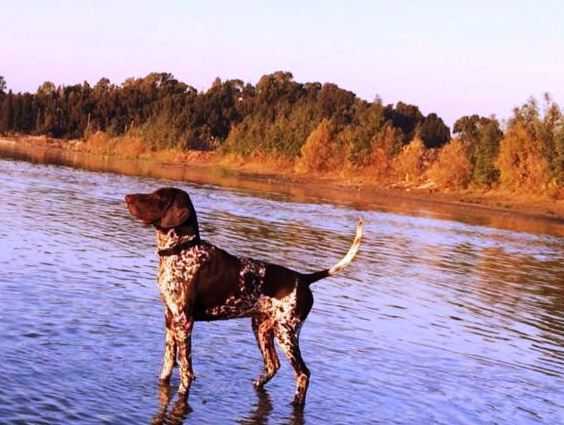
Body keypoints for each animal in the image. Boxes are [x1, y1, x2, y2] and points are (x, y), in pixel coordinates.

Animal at [124, 186, 364, 404]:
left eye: (158, 197)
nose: (127, 197)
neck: (181, 250)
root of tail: (303, 278)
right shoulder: (170, 318)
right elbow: (167, 366)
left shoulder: (184, 323)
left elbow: (185, 370)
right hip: (262, 329)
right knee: (272, 365)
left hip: (286, 333)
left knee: (303, 373)